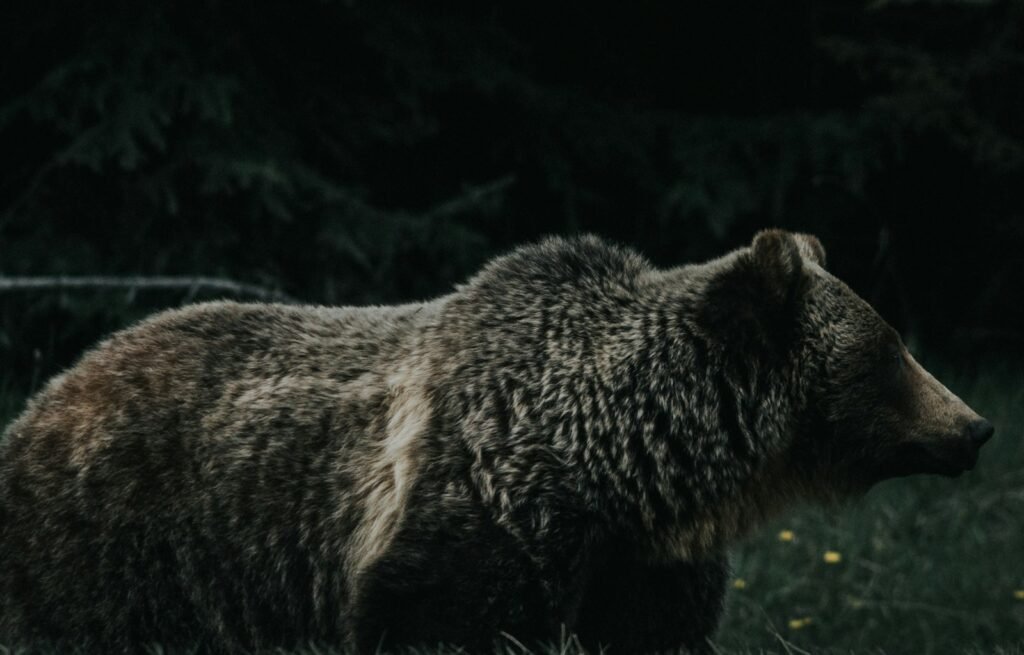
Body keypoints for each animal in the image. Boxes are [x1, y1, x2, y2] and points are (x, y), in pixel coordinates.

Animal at [0, 230, 993, 654]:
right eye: (890, 349)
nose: (976, 427)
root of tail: (49, 391)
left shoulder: (642, 566)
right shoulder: (471, 517)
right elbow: (441, 615)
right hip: (124, 544)